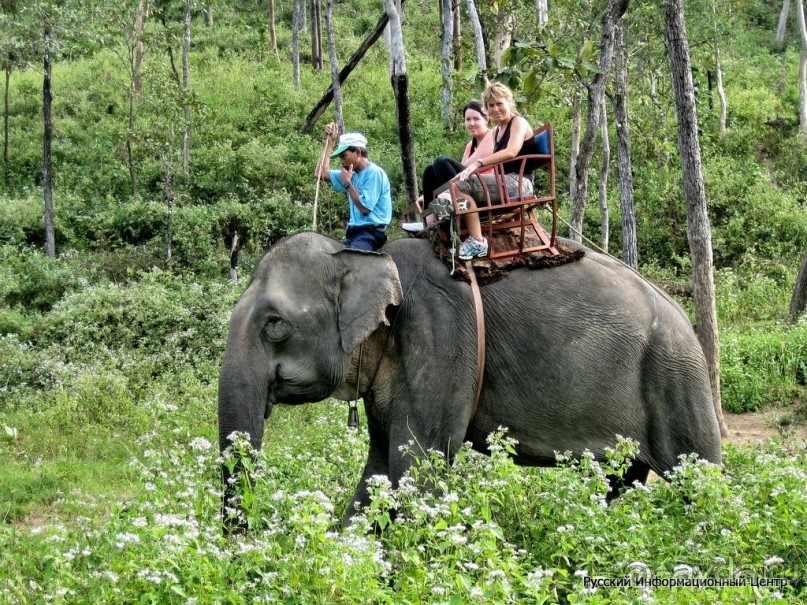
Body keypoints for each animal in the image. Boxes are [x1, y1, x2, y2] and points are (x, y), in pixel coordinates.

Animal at [218, 231, 724, 524]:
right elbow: (380, 467)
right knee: (619, 480)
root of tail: (684, 318)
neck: (369, 257)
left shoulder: (442, 338)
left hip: (675, 378)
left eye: (275, 323)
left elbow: (415, 465)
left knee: (699, 481)